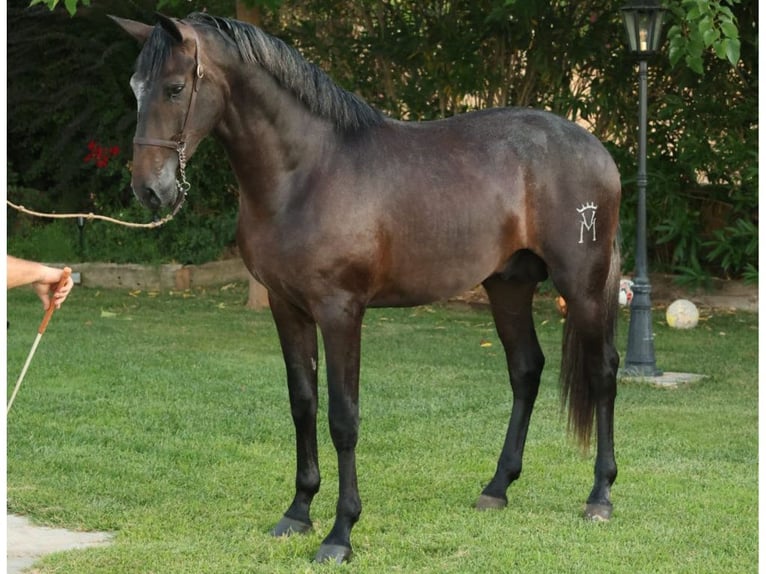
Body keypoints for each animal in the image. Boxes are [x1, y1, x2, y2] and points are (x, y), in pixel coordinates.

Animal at [109, 13, 624, 568]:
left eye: (175, 87)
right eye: (136, 88)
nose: (149, 190)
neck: (306, 173)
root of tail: (596, 148)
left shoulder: (341, 312)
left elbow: (343, 418)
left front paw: (340, 534)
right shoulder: (287, 308)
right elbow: (303, 404)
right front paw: (297, 512)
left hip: (582, 286)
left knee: (603, 372)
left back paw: (600, 496)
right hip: (508, 285)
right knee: (526, 370)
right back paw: (497, 488)